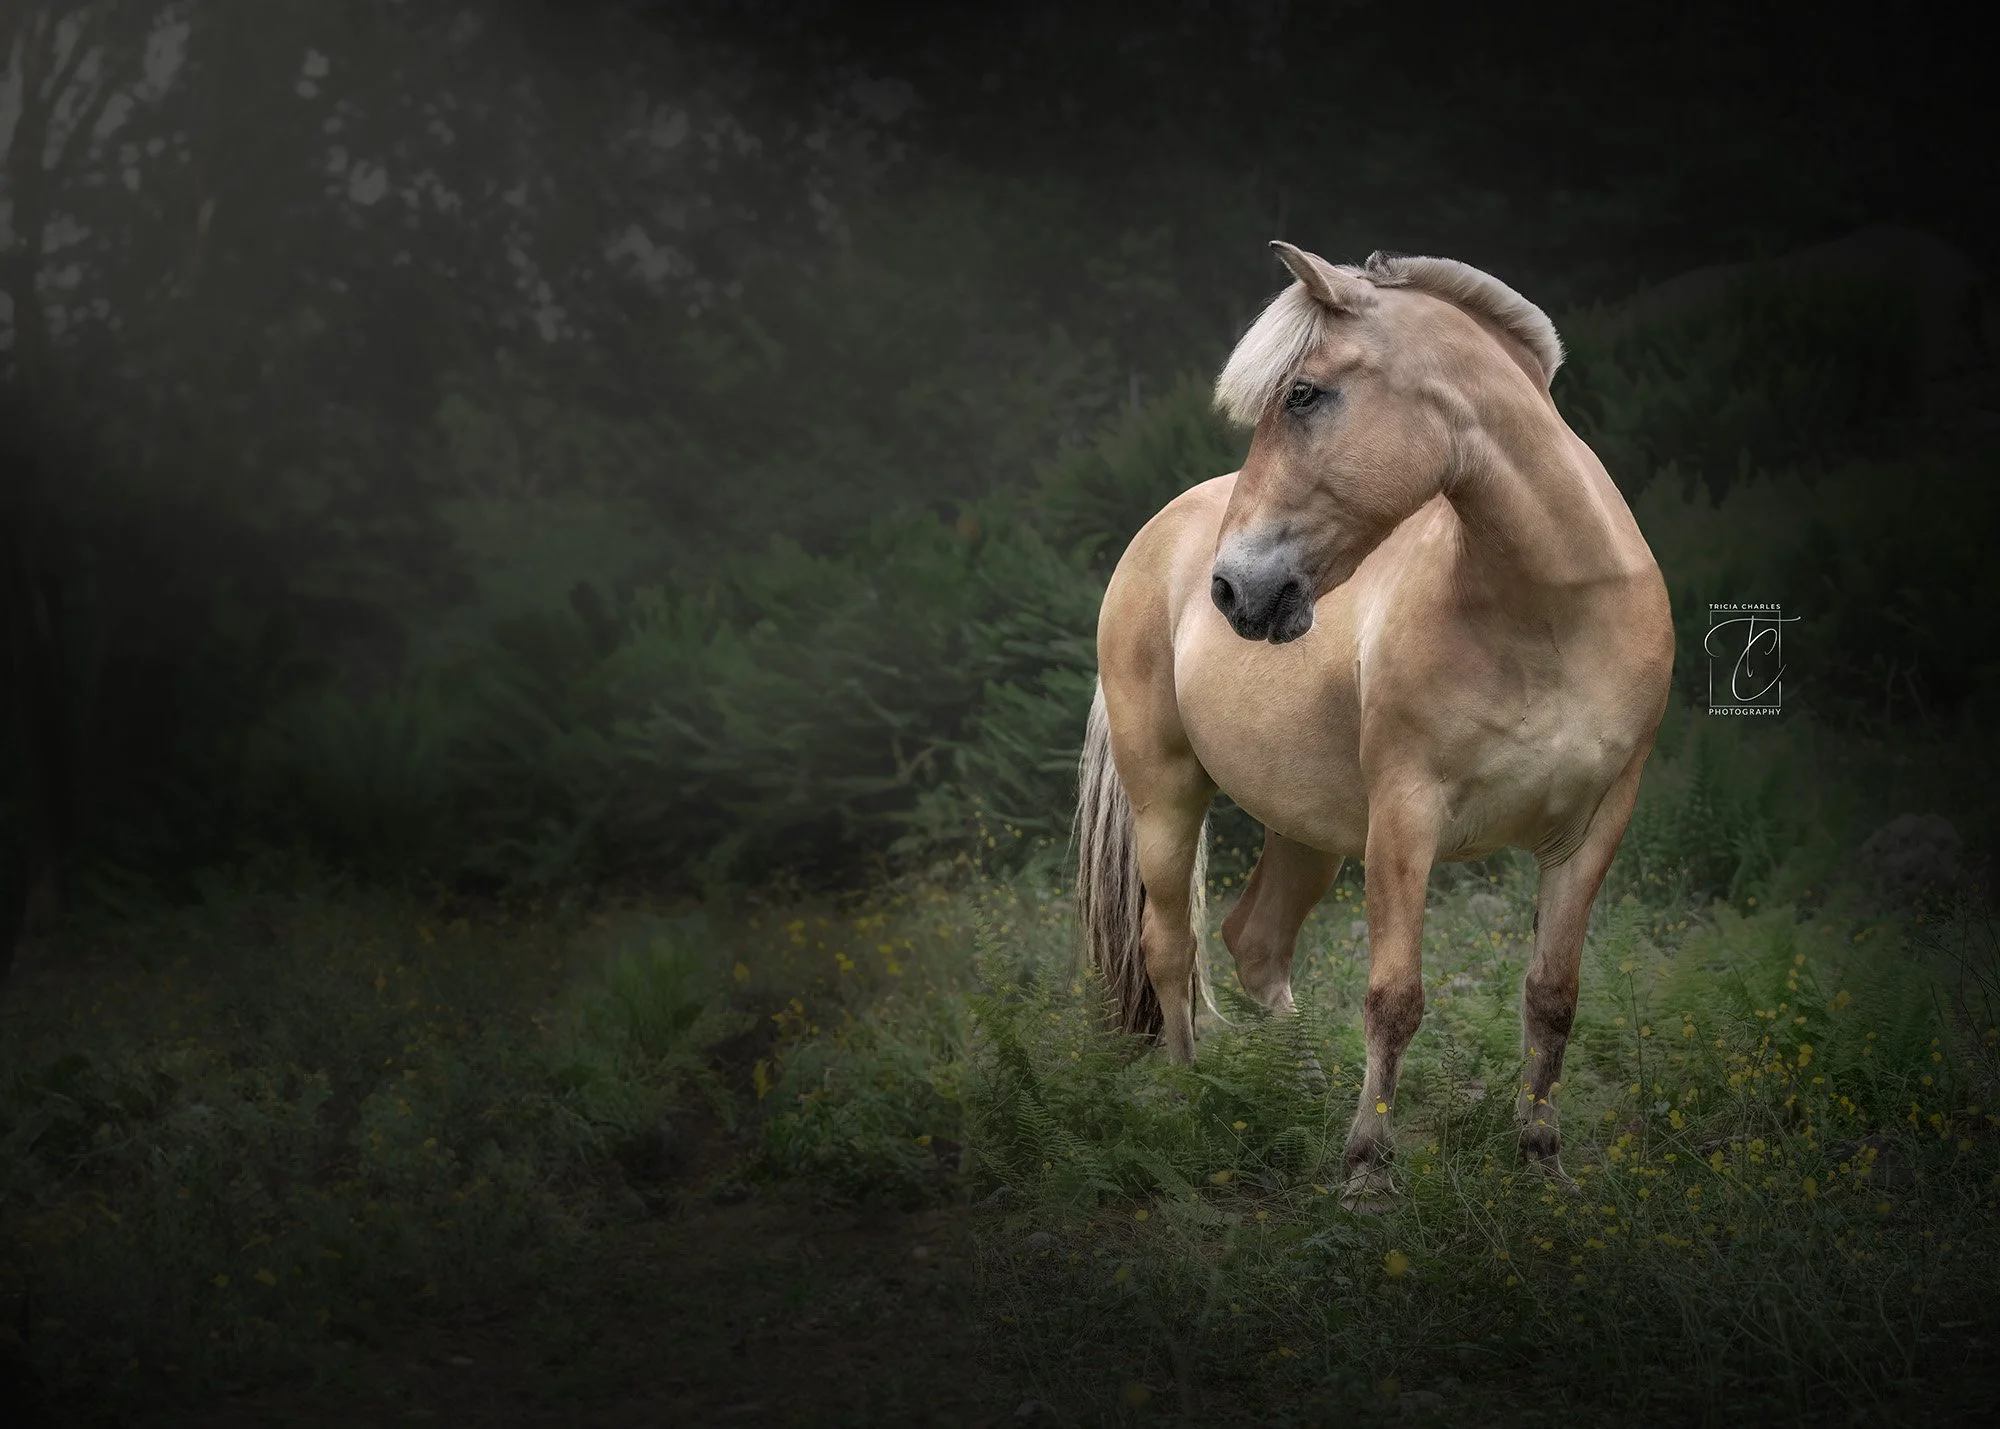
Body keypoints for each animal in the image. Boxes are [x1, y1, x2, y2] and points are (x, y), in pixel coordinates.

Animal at [1074, 241, 1675, 1208]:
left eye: (1304, 393)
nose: (1233, 590)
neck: (1552, 614)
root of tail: (1155, 538)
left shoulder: (1592, 830)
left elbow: (1552, 995)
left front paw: (1542, 1158)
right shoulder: (1405, 820)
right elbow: (1394, 998)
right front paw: (1366, 1169)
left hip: (1308, 831)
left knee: (1255, 944)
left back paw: (1297, 1085)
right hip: (1166, 797)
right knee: (1172, 946)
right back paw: (1194, 1095)